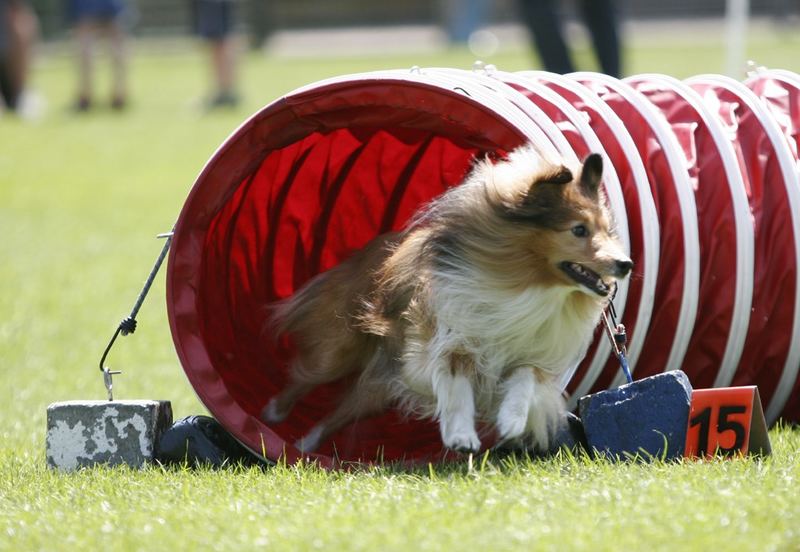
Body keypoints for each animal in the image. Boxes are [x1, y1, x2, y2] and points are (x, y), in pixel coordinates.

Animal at [260, 144, 632, 454]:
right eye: (579, 230)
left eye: (606, 229)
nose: (625, 264)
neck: (530, 286)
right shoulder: (448, 341)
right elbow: (457, 391)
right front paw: (461, 436)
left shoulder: (532, 349)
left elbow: (524, 380)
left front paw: (511, 420)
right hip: (340, 351)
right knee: (306, 377)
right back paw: (275, 415)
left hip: (378, 388)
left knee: (340, 413)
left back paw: (305, 445)